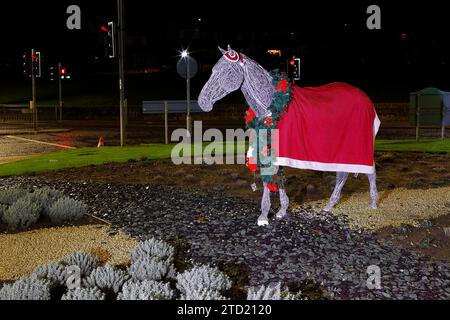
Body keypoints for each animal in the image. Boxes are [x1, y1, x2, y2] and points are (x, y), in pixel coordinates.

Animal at [199, 46, 378, 226]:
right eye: (213, 70)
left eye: (225, 71)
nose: (202, 102)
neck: (271, 105)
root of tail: (366, 99)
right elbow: (279, 178)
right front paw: (282, 210)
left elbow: (269, 178)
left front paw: (264, 215)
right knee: (343, 173)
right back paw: (330, 204)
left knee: (369, 171)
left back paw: (373, 203)